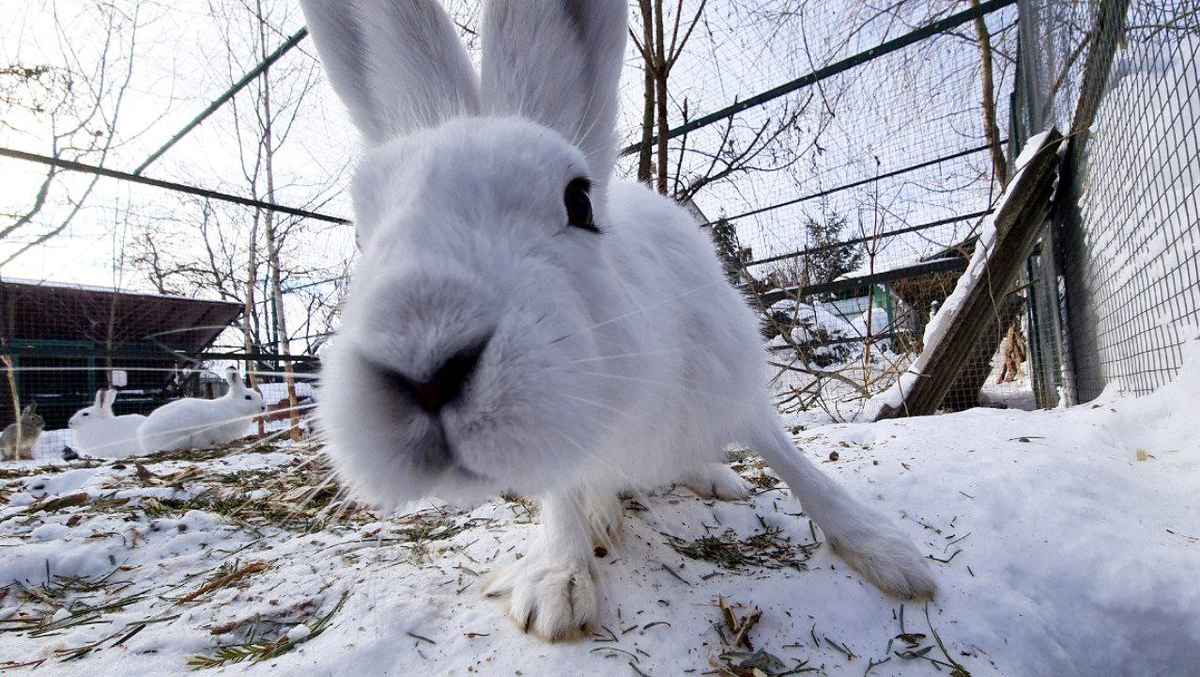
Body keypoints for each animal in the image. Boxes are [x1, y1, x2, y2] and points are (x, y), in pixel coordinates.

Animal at [300, 0, 936, 638]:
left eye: (579, 201)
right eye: (360, 236)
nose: (426, 371)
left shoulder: (731, 383)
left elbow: (789, 459)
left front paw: (889, 556)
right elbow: (561, 499)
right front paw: (557, 584)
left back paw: (716, 480)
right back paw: (604, 516)